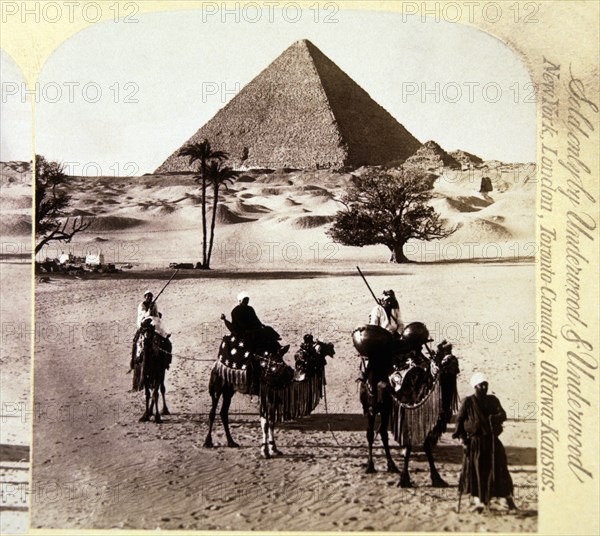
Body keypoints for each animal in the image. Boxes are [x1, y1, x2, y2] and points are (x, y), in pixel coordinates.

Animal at [204, 336, 336, 456]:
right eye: (318, 348)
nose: (332, 347)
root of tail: (216, 363)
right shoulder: (265, 395)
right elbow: (265, 422)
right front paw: (265, 451)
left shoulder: (274, 397)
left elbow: (271, 422)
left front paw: (274, 449)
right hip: (218, 386)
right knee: (212, 412)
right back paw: (208, 442)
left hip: (229, 390)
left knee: (223, 412)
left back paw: (231, 442)